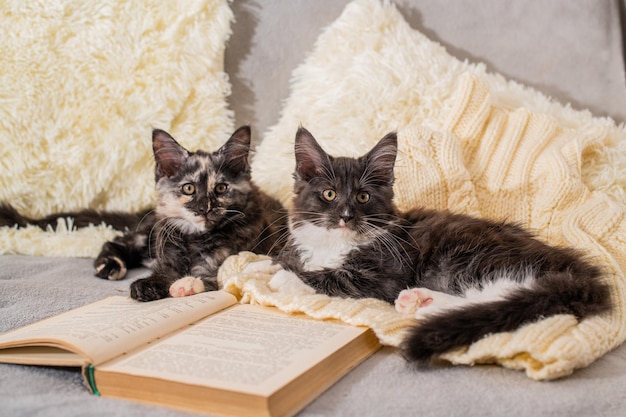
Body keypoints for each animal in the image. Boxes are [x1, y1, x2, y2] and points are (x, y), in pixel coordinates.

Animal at [268, 127, 608, 364]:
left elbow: (333, 276)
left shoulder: (383, 276)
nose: (346, 216)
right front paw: (280, 266)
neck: (335, 244)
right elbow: (292, 259)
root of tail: (578, 269)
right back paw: (421, 301)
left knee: (502, 295)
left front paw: (285, 278)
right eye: (329, 194)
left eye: (363, 197)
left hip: (468, 257)